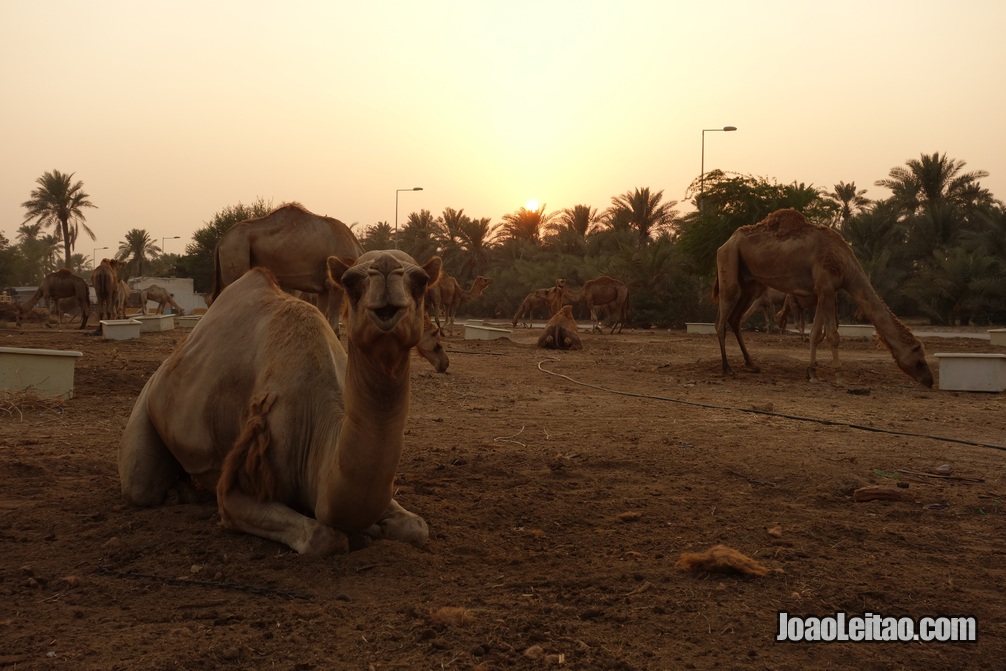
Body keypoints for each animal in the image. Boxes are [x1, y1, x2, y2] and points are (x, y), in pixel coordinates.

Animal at [117, 251, 440, 555]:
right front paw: (360, 533)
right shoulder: (237, 485)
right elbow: (324, 537)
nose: (385, 266)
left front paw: (373, 528)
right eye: (349, 281)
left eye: (421, 280)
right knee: (141, 486)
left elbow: (417, 527)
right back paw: (178, 494)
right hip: (146, 405)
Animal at [712, 210, 929, 388]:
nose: (929, 381)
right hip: (729, 262)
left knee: (735, 318)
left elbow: (816, 334)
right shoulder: (827, 288)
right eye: (919, 358)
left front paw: (812, 374)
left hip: (751, 283)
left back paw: (752, 365)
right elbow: (833, 335)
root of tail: (725, 243)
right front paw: (840, 377)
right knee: (722, 319)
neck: (846, 265)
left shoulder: (821, 291)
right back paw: (727, 368)